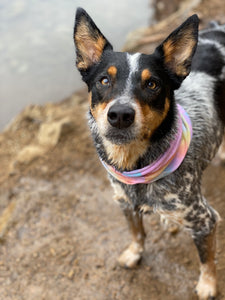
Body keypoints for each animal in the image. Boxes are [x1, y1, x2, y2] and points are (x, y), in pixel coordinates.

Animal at [74, 7, 225, 300]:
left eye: (152, 84)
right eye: (104, 80)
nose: (120, 115)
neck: (136, 167)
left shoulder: (204, 219)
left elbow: (206, 259)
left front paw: (208, 285)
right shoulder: (123, 201)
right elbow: (137, 233)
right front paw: (134, 253)